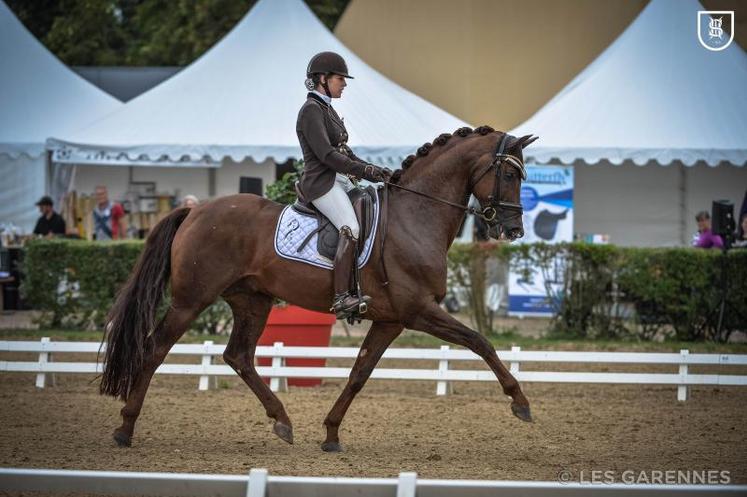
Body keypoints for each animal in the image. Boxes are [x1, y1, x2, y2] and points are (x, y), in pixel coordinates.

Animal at [102, 124, 540, 450]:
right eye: (509, 174)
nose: (513, 229)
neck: (415, 215)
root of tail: (195, 210)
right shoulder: (419, 311)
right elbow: (480, 341)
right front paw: (520, 403)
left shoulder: (391, 320)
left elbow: (360, 372)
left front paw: (331, 433)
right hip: (191, 300)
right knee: (155, 349)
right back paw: (124, 429)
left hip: (252, 300)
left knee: (238, 355)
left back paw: (282, 421)